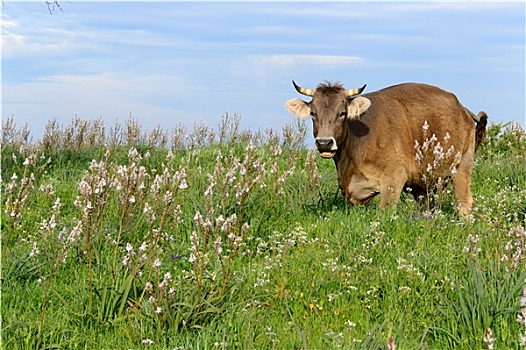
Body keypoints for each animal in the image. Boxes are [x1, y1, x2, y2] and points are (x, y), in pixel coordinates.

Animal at [286, 81, 488, 217]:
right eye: (313, 113)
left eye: (342, 113)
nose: (324, 143)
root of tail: (461, 108)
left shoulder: (393, 181)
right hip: (423, 183)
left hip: (462, 166)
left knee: (464, 202)